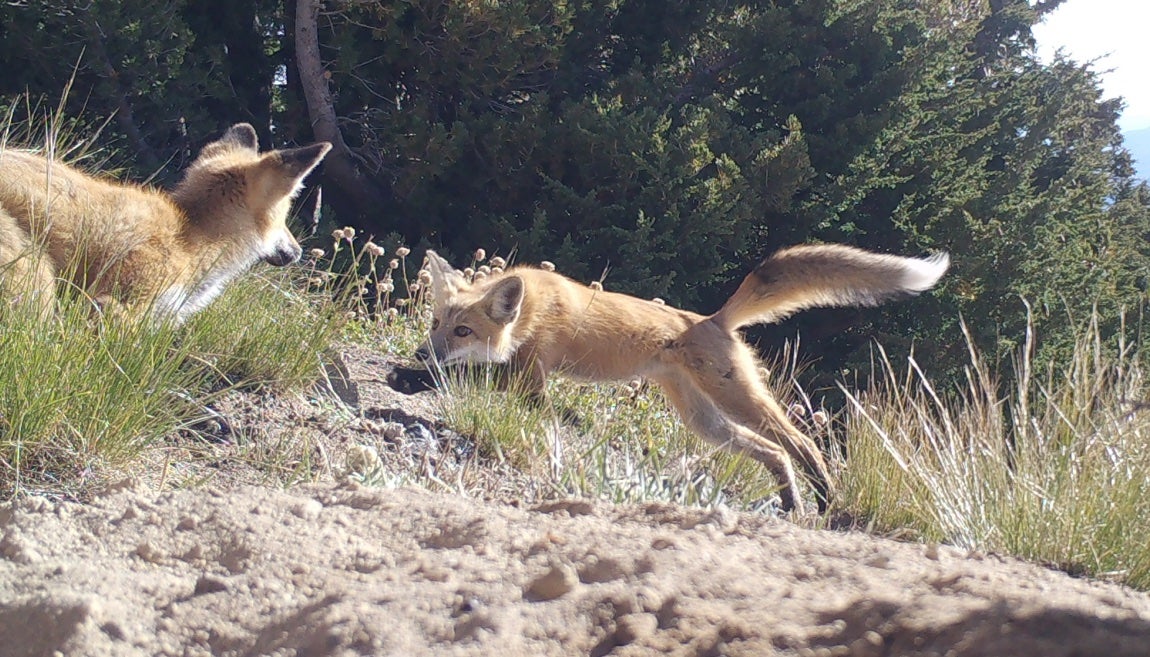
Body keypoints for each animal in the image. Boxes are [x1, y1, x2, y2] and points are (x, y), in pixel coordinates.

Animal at [399, 245, 949, 514]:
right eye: (436, 323)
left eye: (463, 330)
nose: (421, 351)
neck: (532, 309)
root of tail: (712, 319)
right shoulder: (520, 377)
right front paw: (414, 373)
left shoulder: (528, 381)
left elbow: (468, 382)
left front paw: (412, 379)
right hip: (704, 420)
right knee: (773, 452)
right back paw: (791, 501)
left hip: (736, 398)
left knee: (802, 442)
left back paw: (824, 497)